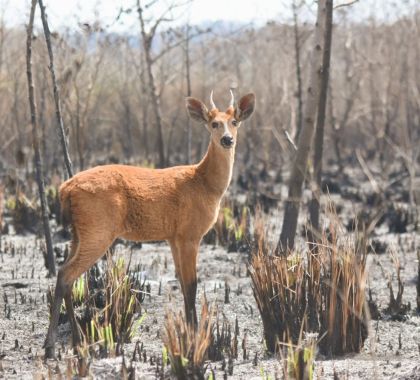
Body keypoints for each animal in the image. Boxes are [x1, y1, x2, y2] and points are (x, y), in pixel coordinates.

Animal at [43, 90, 256, 358]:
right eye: (214, 123)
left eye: (234, 121)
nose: (227, 139)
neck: (205, 184)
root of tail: (65, 188)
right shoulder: (190, 234)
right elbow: (192, 284)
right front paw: (196, 339)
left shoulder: (174, 237)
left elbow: (183, 284)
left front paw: (189, 334)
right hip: (98, 230)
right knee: (65, 274)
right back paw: (52, 347)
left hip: (78, 233)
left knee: (67, 276)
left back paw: (76, 341)